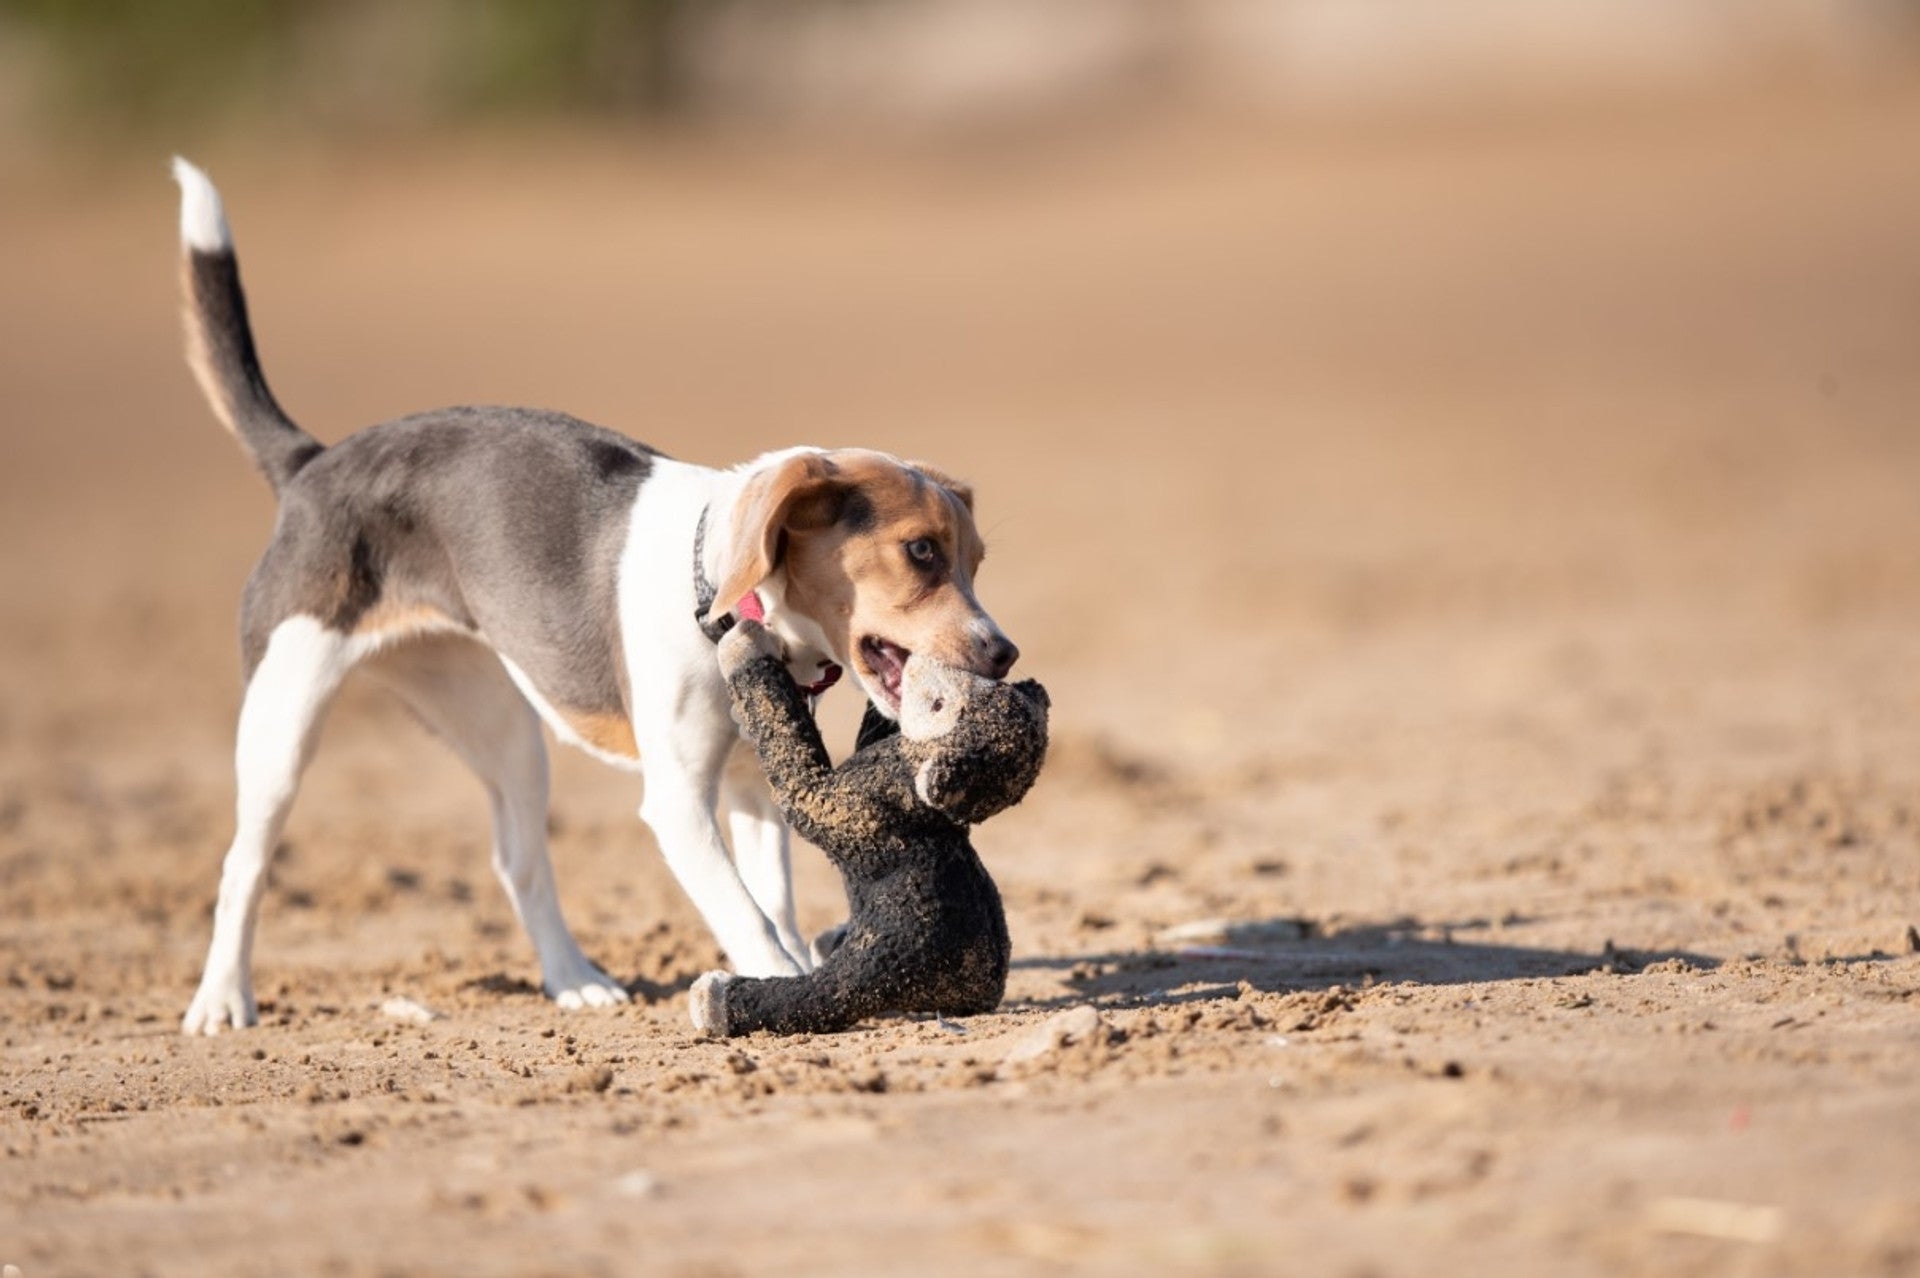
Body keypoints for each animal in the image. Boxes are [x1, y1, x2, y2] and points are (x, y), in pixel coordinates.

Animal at [174, 162, 1021, 1036]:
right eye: (920, 552)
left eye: (976, 562)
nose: (1005, 653)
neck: (719, 598)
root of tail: (311, 464)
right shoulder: (678, 801)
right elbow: (750, 919)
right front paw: (781, 986)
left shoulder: (752, 786)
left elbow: (776, 904)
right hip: (281, 721)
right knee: (244, 864)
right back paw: (222, 1000)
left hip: (503, 729)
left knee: (518, 860)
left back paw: (574, 979)